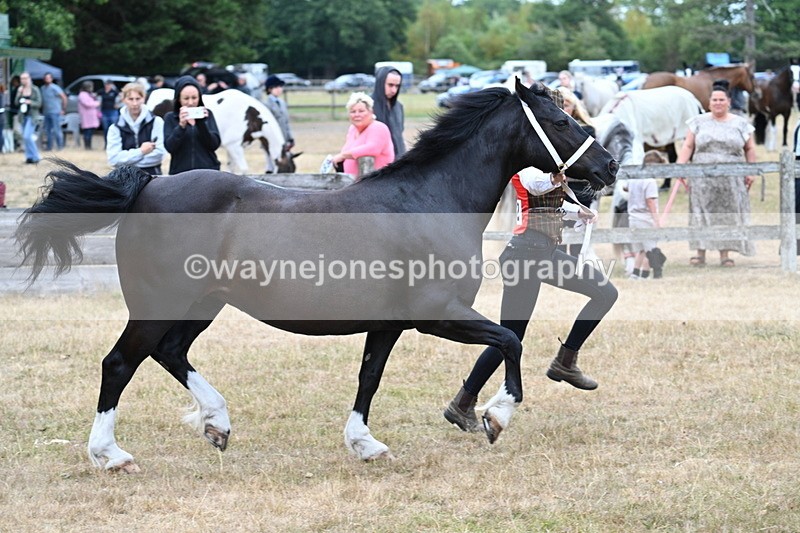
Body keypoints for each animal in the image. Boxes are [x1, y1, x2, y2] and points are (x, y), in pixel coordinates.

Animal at [146, 89, 294, 174]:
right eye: (286, 170)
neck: (250, 114)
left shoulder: (232, 148)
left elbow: (231, 168)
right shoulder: (234, 146)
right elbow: (244, 170)